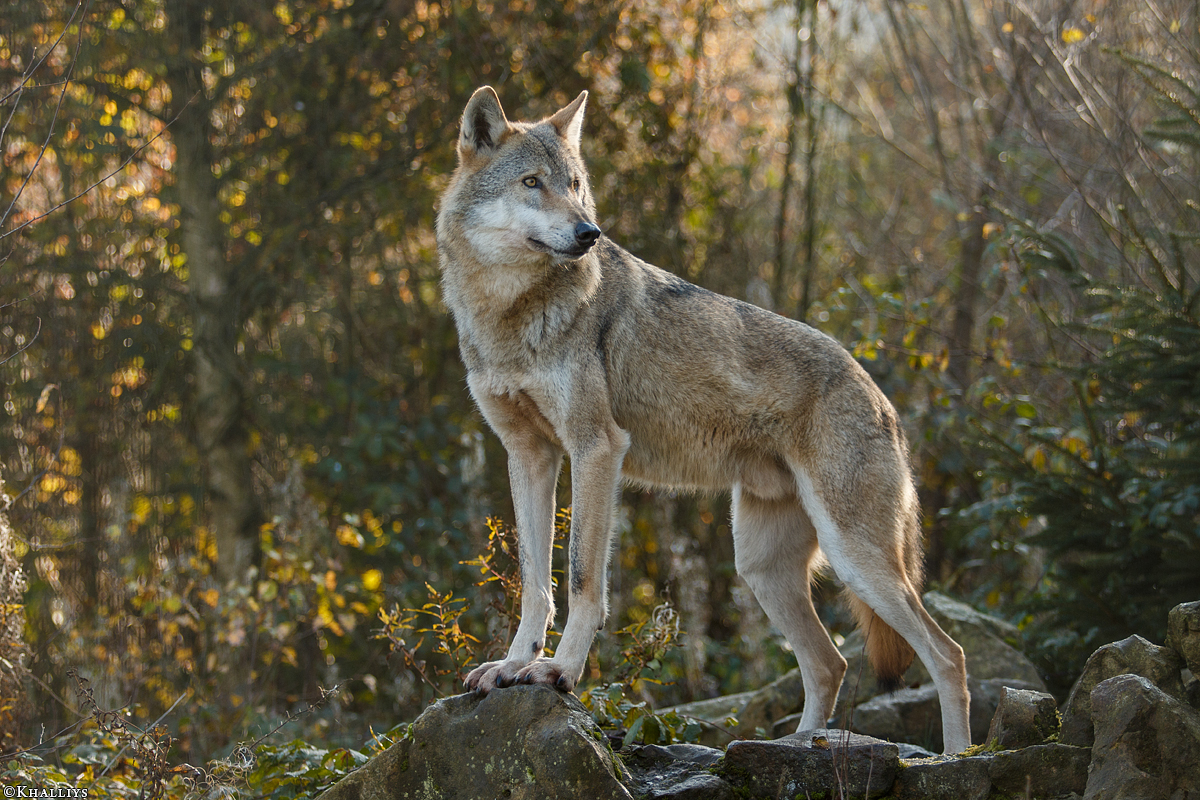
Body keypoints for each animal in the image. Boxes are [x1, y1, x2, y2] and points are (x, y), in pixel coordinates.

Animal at [436, 84, 969, 753]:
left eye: (576, 184)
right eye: (532, 183)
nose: (589, 232)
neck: (508, 311)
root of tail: (883, 399)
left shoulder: (596, 449)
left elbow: (583, 580)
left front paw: (558, 671)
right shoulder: (530, 455)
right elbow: (536, 582)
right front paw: (512, 666)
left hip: (856, 560)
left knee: (947, 655)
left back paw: (958, 755)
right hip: (762, 570)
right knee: (832, 663)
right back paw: (795, 748)